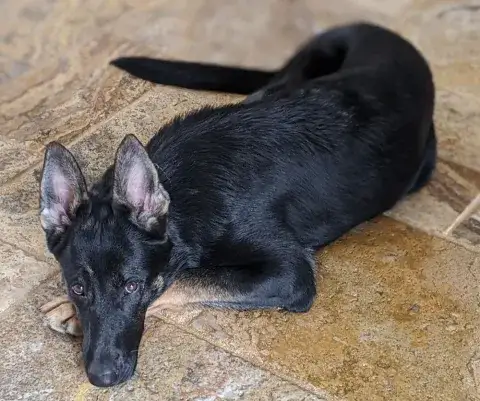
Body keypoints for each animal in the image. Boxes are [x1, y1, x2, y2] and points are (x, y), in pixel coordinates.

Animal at [39, 22, 436, 387]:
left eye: (133, 287)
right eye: (78, 288)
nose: (102, 377)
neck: (183, 193)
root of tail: (377, 29)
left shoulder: (290, 273)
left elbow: (186, 278)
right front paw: (71, 310)